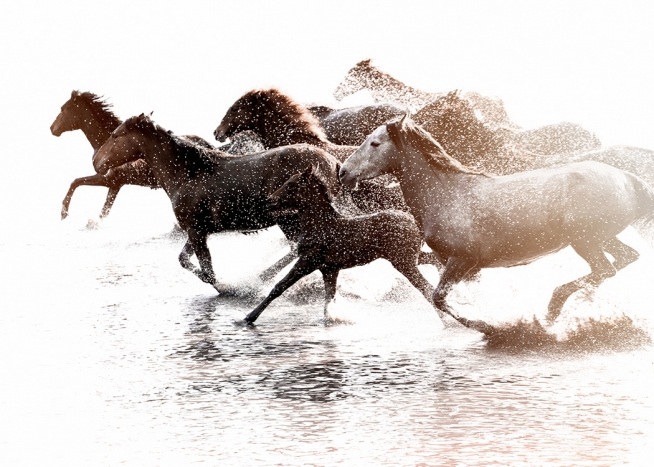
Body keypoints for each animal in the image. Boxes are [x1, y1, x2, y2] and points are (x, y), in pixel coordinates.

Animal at [50, 90, 263, 220]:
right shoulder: (115, 185)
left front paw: (64, 213)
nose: (52, 129)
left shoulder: (109, 180)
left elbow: (76, 182)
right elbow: (103, 211)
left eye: (64, 109)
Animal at [92, 113, 342, 292]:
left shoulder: (195, 231)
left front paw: (228, 288)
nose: (96, 161)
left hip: (290, 219)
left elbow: (208, 273)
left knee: (299, 248)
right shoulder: (198, 229)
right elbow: (184, 259)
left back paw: (262, 277)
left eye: (116, 135)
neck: (188, 173)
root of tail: (334, 163)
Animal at [244, 165, 439, 325]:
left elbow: (279, 286)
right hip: (410, 257)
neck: (320, 225)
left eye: (291, 185)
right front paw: (334, 319)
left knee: (426, 286)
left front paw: (249, 317)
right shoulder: (329, 269)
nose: (269, 201)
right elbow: (329, 299)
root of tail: (414, 223)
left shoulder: (307, 261)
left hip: (403, 261)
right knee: (433, 261)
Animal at [339, 115, 654, 329]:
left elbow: (440, 297)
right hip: (600, 238)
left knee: (606, 269)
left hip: (584, 240)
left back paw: (553, 306)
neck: (447, 193)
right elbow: (445, 295)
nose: (343, 172)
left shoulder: (463, 260)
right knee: (625, 259)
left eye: (375, 143)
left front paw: (486, 326)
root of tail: (632, 182)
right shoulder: (455, 264)